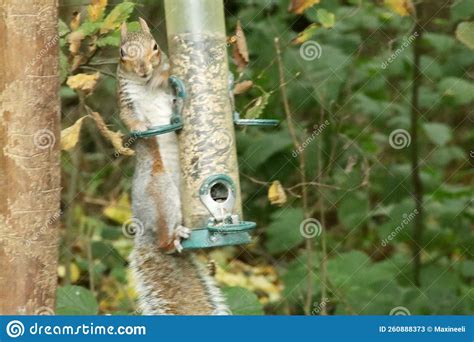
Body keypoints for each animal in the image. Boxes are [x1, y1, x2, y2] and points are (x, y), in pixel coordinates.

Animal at [118, 17, 230, 314]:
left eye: (156, 47)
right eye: (122, 53)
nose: (144, 70)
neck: (146, 86)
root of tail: (144, 230)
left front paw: (160, 74)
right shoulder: (125, 98)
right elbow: (128, 117)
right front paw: (140, 127)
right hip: (161, 194)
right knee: (164, 243)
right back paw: (172, 238)